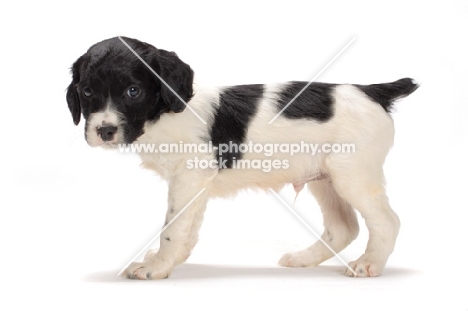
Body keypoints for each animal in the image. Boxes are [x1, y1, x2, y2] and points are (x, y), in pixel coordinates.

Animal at [65, 36, 416, 280]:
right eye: (87, 91)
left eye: (133, 91)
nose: (105, 130)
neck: (166, 113)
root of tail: (372, 91)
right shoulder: (195, 184)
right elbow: (187, 229)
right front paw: (169, 260)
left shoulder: (188, 177)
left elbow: (172, 228)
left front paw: (156, 266)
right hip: (325, 178)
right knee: (343, 228)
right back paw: (303, 259)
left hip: (352, 175)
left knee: (387, 220)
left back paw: (369, 263)